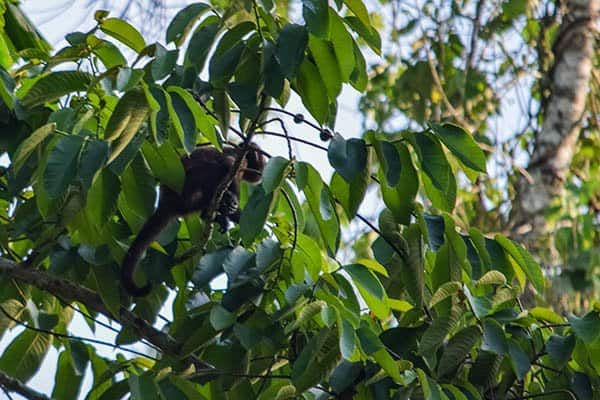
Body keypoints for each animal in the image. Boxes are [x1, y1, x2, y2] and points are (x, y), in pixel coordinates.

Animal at [119, 145, 264, 296]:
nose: (252, 153)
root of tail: (166, 202)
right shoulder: (236, 161)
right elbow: (228, 165)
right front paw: (231, 200)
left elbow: (255, 177)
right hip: (187, 184)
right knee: (214, 170)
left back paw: (212, 214)